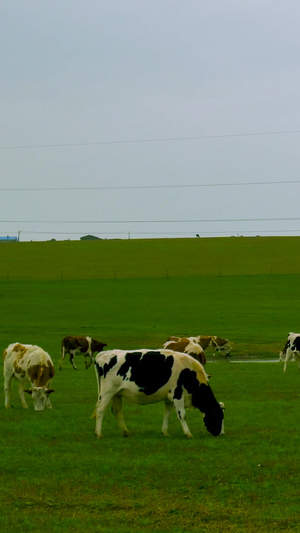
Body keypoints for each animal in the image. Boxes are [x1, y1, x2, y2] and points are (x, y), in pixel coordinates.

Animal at [94, 348, 225, 438]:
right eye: (218, 416)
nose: (221, 434)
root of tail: (103, 354)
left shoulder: (169, 398)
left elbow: (167, 415)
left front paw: (165, 432)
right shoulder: (177, 394)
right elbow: (182, 415)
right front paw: (188, 433)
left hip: (116, 393)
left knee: (117, 412)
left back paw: (126, 432)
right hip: (107, 392)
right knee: (100, 410)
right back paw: (98, 433)